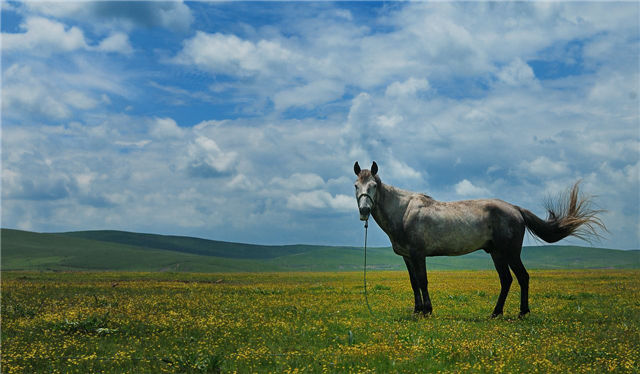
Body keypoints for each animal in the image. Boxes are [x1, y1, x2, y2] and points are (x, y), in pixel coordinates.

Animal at [352, 159, 608, 318]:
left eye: (373, 185)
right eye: (356, 185)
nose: (364, 211)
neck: (404, 211)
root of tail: (515, 209)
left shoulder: (418, 254)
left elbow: (423, 281)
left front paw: (427, 310)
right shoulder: (407, 257)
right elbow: (414, 283)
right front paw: (417, 310)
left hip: (511, 252)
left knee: (522, 277)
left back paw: (522, 312)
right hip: (496, 253)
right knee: (506, 280)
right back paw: (496, 312)